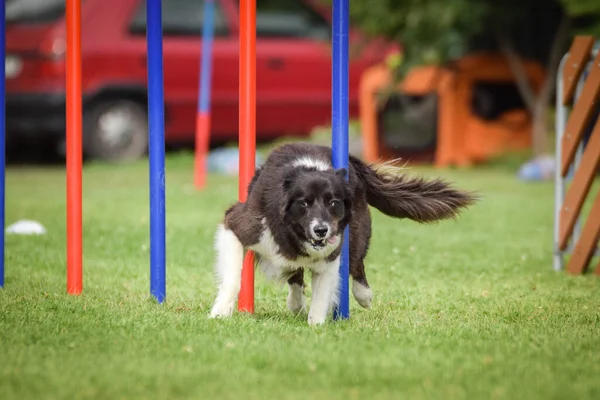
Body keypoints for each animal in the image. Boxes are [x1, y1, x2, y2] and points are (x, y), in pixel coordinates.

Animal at [209, 143, 476, 324]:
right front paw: (220, 312)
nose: (321, 230)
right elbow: (233, 278)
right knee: (295, 274)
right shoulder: (239, 224)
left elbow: (321, 293)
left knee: (356, 263)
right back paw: (296, 303)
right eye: (303, 203)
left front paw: (316, 325)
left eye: (333, 203)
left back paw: (363, 295)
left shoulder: (332, 252)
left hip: (358, 230)